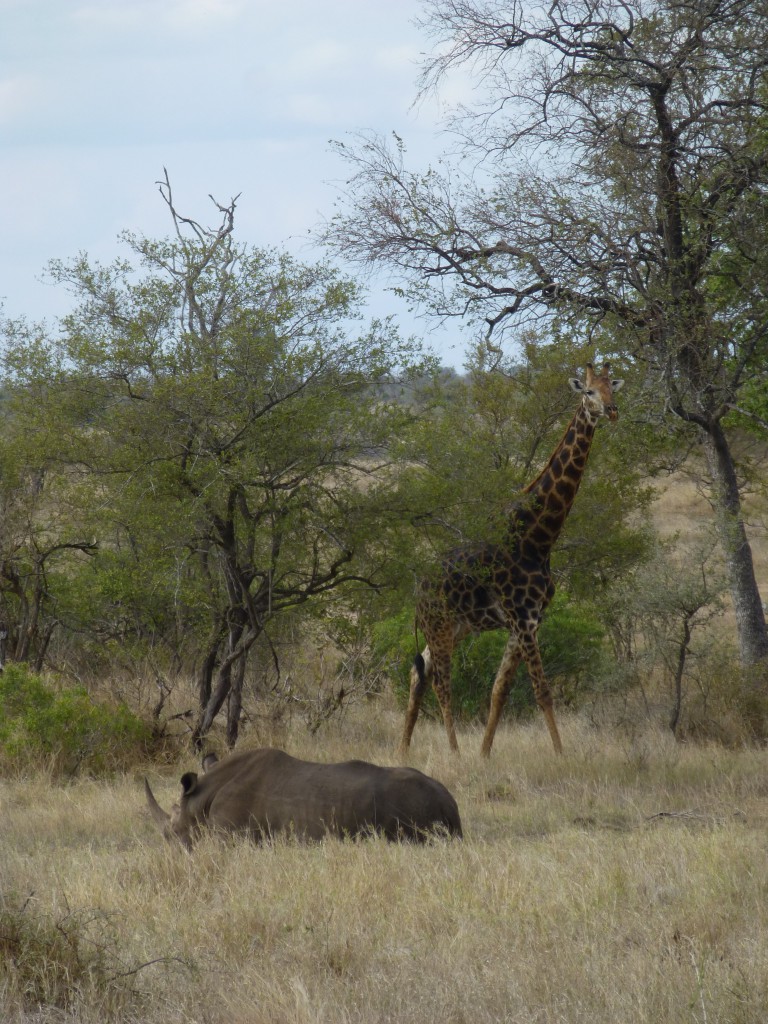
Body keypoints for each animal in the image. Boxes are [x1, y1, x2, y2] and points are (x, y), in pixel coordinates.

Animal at [403, 364, 626, 757]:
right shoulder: (523, 618)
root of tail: (419, 590)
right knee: (441, 683)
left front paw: (485, 754)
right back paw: (454, 753)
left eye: (611, 390)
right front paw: (561, 755)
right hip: (439, 624)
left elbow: (500, 689)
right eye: (588, 392)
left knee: (418, 672)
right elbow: (543, 691)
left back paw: (403, 750)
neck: (538, 537)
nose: (611, 412)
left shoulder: (527, 620)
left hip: (456, 627)